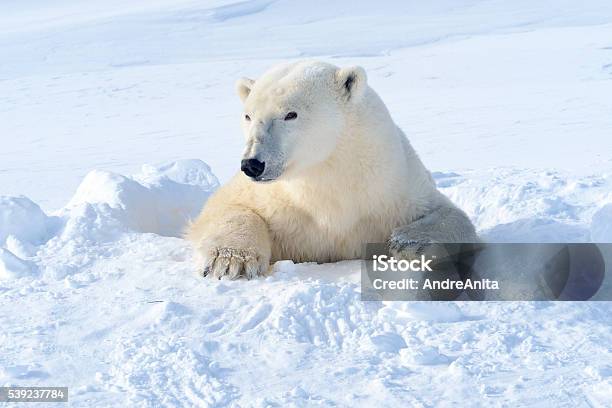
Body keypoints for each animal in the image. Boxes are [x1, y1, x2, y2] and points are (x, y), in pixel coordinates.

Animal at [186, 59, 478, 278]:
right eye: (248, 116)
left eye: (290, 114)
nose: (252, 164)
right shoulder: (274, 199)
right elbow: (226, 207)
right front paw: (230, 261)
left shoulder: (393, 188)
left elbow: (453, 216)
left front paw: (406, 241)